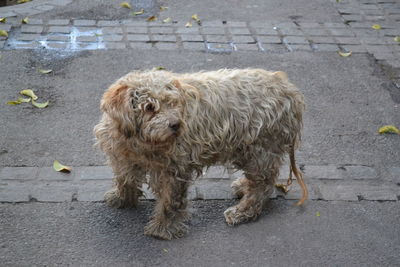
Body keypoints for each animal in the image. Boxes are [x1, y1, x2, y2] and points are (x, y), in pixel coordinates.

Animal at [94, 69, 306, 241]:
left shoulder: (174, 170)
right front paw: (122, 199)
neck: (139, 141)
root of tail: (289, 91)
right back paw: (243, 186)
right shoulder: (123, 158)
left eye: (173, 103)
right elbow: (125, 179)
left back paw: (242, 211)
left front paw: (164, 227)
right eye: (149, 107)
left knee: (262, 186)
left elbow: (170, 202)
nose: (176, 124)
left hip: (260, 150)